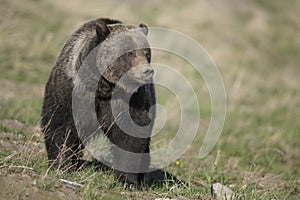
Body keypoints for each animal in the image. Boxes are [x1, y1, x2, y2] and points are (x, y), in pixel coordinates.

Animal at [41, 18, 157, 187]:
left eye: (147, 53)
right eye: (129, 53)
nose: (147, 71)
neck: (105, 87)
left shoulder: (132, 100)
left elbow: (131, 136)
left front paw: (127, 179)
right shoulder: (74, 93)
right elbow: (61, 126)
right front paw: (61, 164)